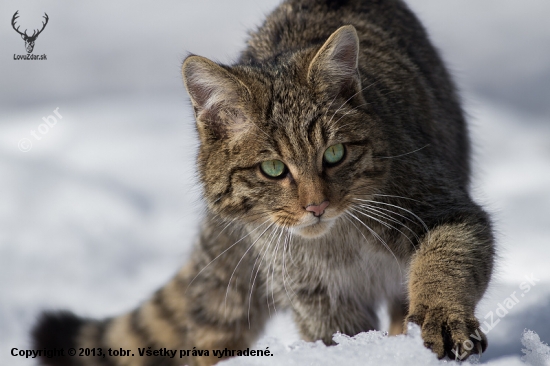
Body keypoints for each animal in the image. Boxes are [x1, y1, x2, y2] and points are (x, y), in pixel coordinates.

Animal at [33, 1, 496, 364]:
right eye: (273, 169)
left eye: (334, 154)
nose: (317, 205)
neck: (338, 243)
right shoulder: (317, 296)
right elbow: (338, 339)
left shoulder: (443, 207)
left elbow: (444, 263)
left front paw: (442, 319)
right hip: (226, 292)